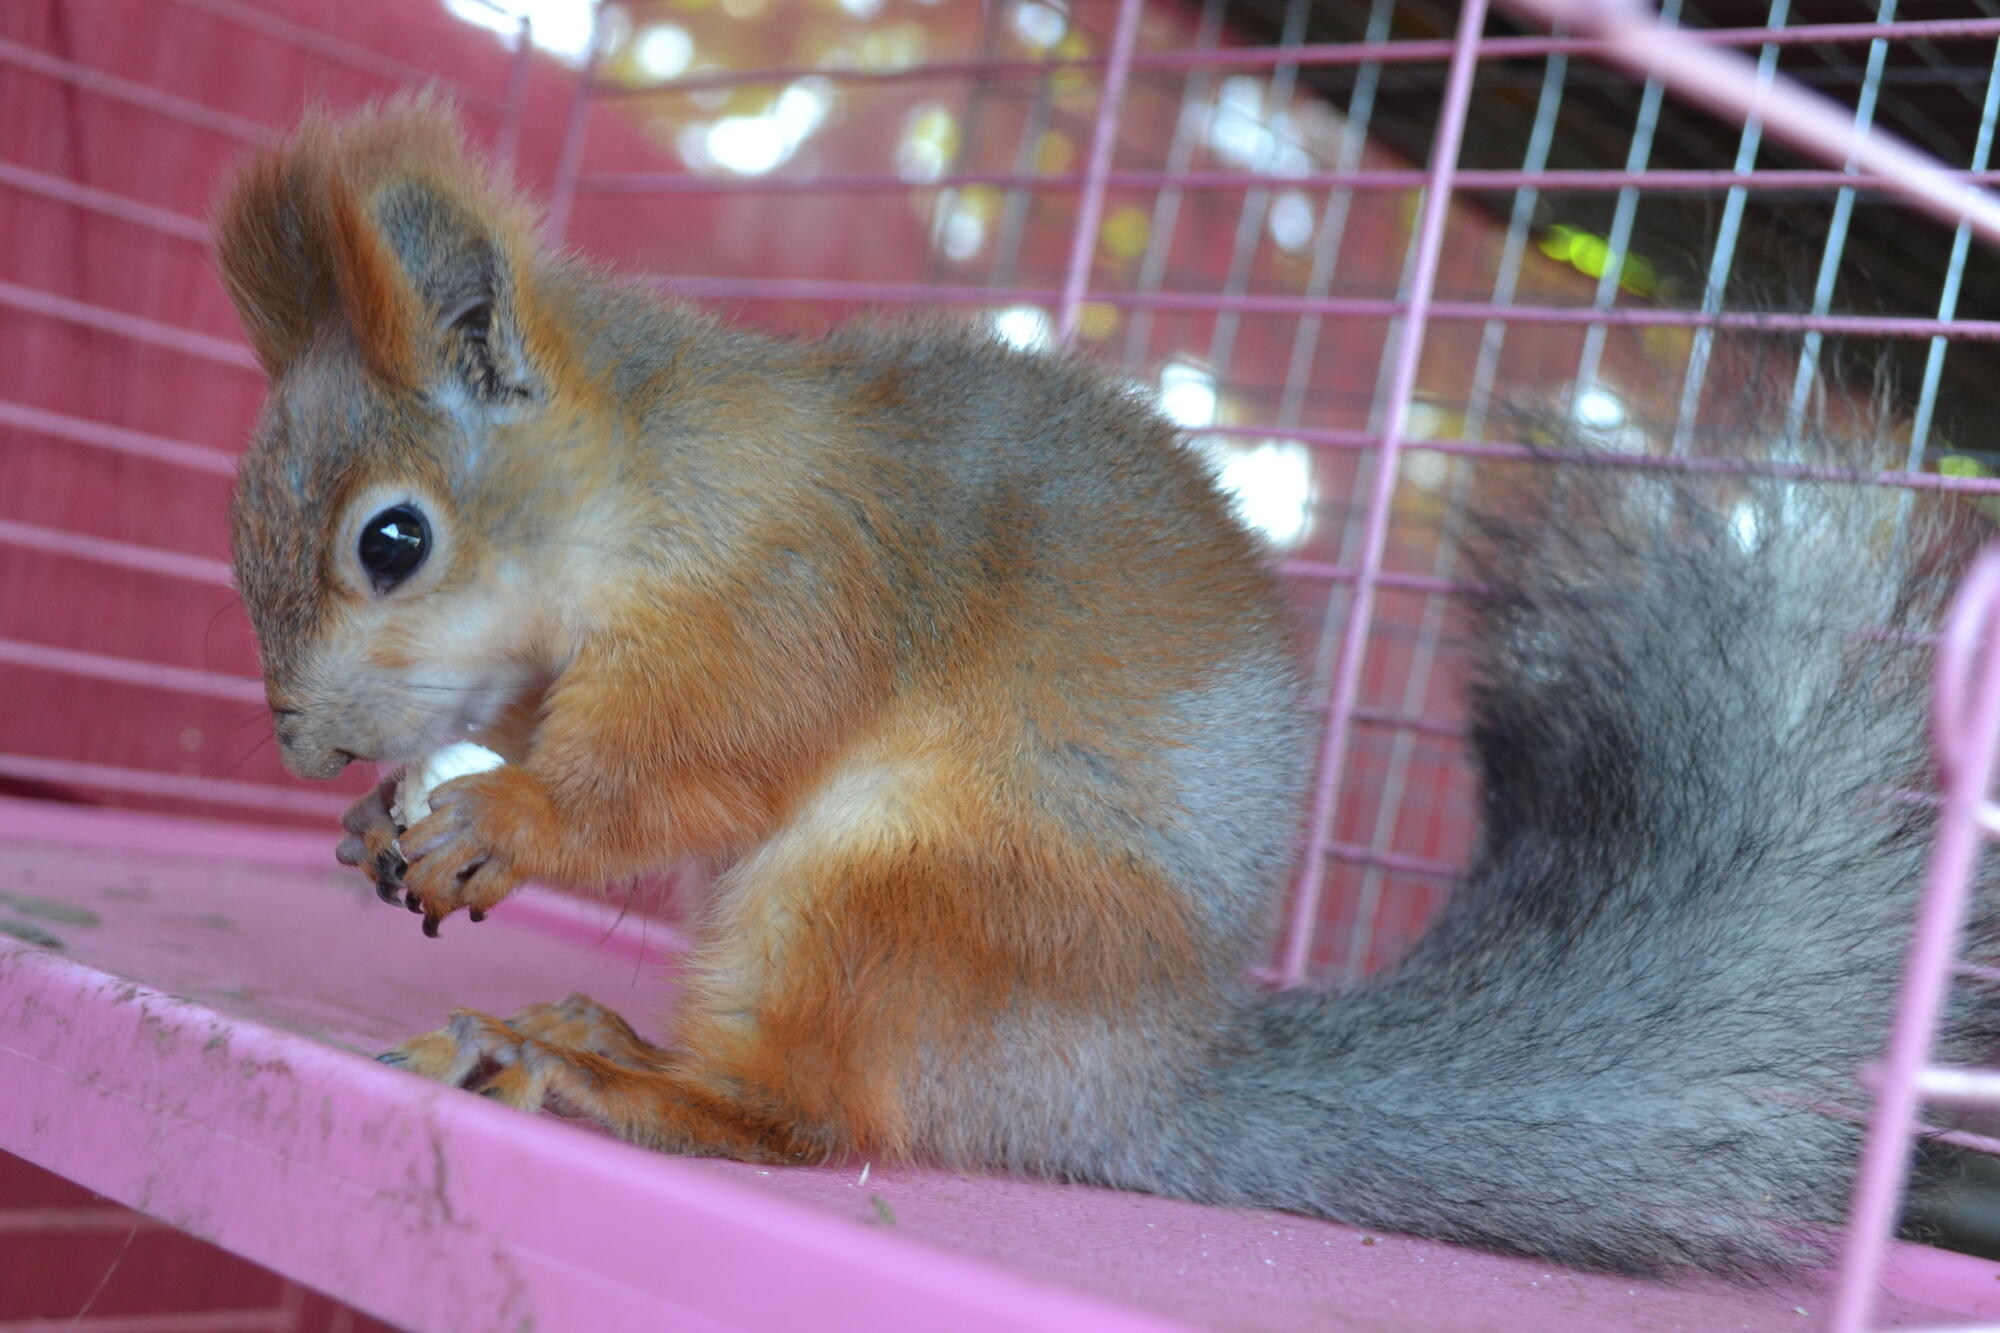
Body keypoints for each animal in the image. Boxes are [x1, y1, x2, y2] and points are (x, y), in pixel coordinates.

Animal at [211, 96, 1992, 1280]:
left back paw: (593, 1072)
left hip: (897, 896)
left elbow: (686, 766)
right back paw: (594, 1027)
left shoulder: (798, 589)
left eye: (392, 541)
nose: (296, 746)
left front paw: (506, 813)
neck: (652, 486)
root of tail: (1130, 1083)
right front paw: (390, 814)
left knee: (807, 1115)